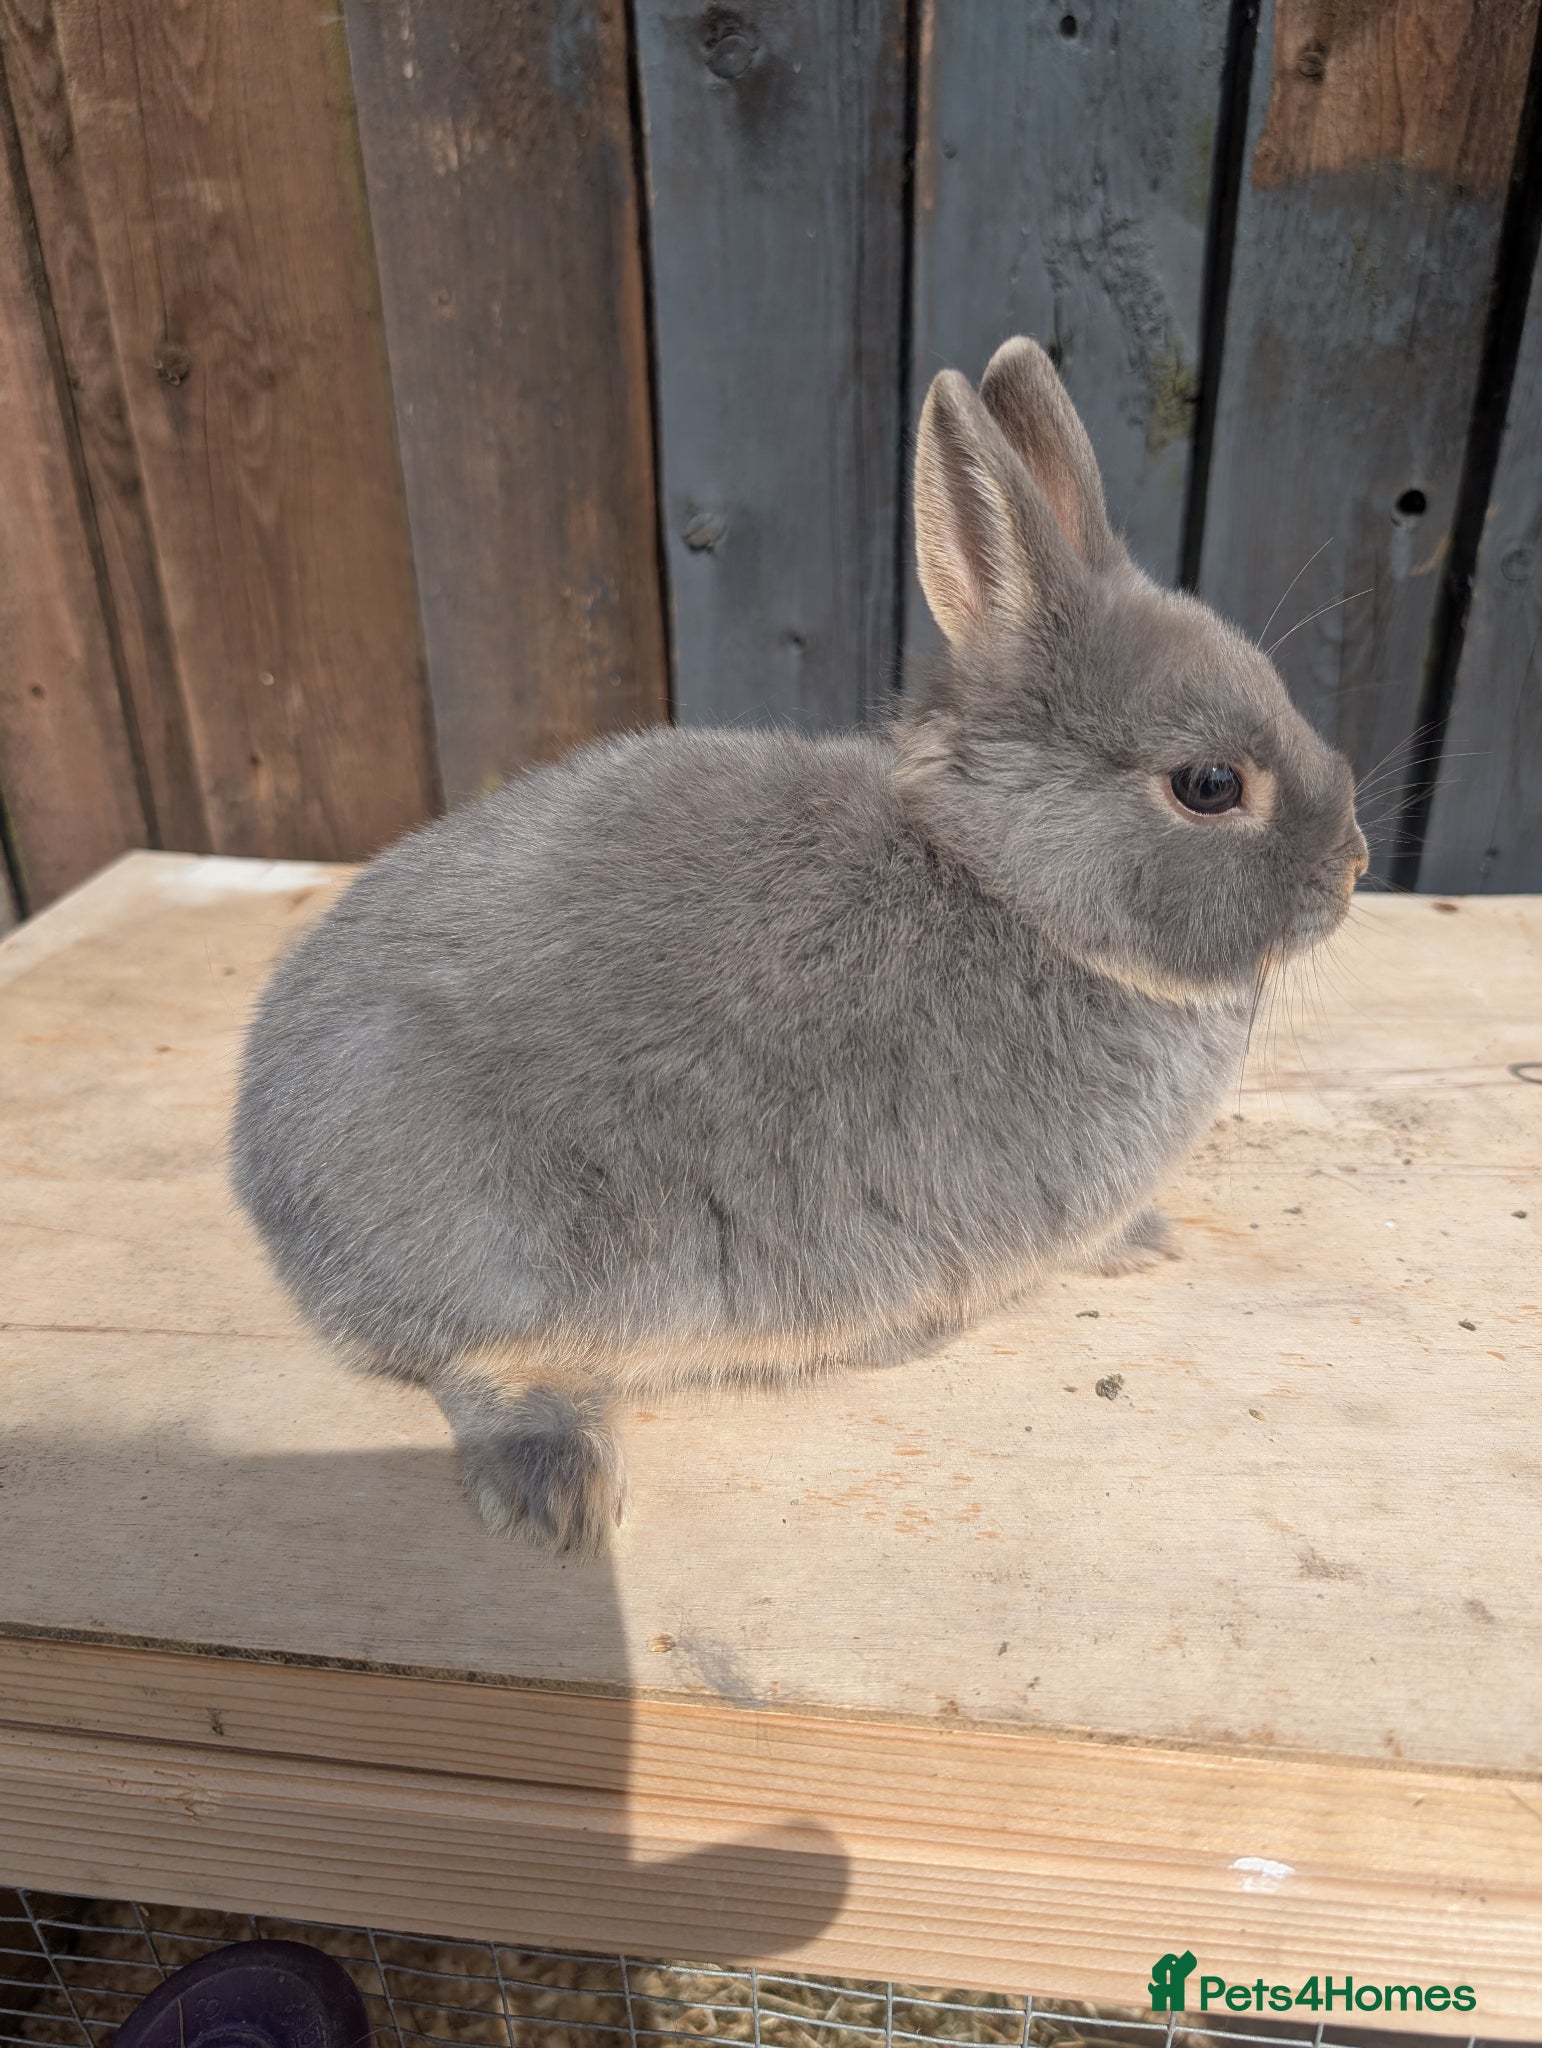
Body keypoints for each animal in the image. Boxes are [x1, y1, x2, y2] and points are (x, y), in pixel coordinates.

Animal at [232, 336, 1367, 1557]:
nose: (1353, 862)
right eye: (1209, 785)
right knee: (489, 1371)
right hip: (511, 1254)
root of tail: (267, 1174)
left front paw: (1147, 1238)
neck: (1009, 888)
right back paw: (564, 1496)